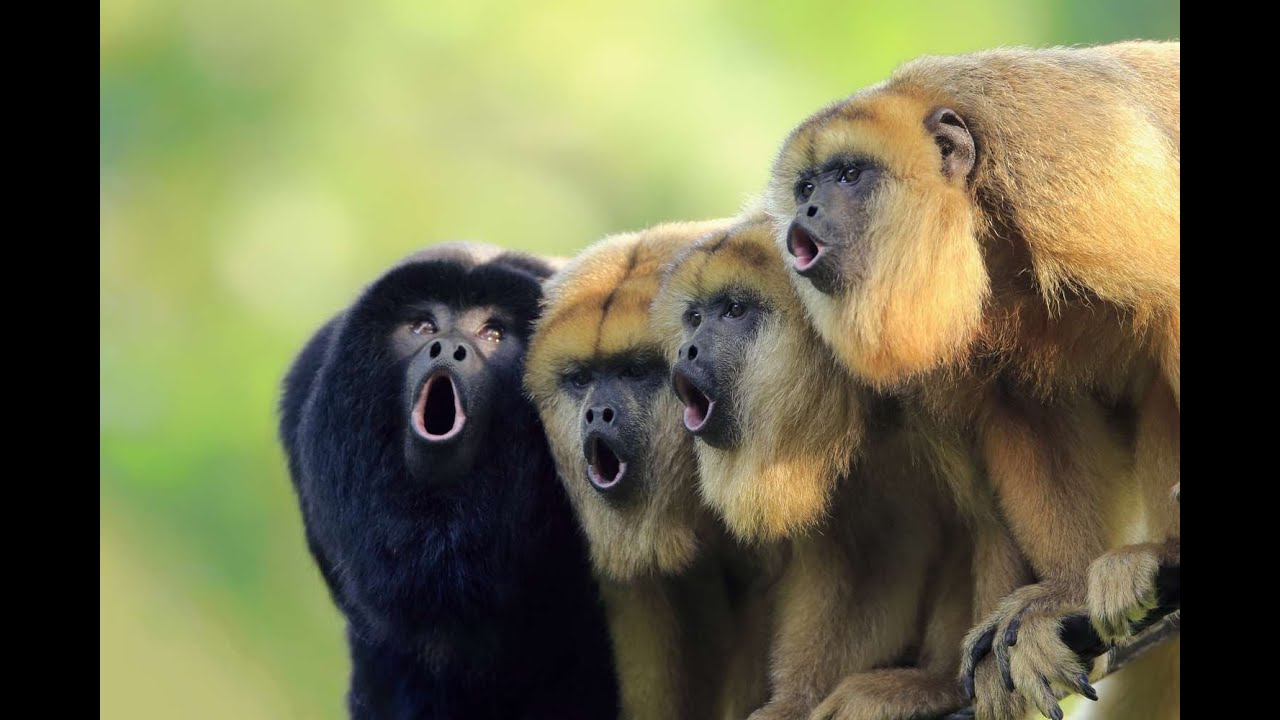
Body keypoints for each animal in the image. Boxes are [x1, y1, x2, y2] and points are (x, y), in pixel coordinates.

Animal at [652, 215, 1006, 720]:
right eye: (695, 319)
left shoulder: (942, 382)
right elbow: (853, 558)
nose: (688, 350)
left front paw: (952, 682)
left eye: (735, 310)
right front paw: (793, 704)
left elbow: (989, 519)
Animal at [761, 41, 1179, 719]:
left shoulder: (1074, 158)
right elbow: (1022, 407)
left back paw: (1163, 552)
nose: (807, 210)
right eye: (805, 186)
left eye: (848, 175)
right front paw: (1064, 593)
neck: (976, 208)